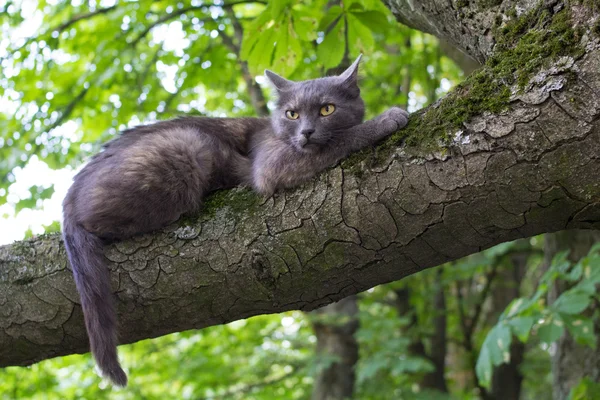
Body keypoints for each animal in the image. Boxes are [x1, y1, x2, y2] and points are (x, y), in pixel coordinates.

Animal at [62, 54, 408, 386]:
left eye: (327, 109)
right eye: (292, 114)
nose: (307, 132)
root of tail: (70, 198)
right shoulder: (272, 163)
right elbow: (342, 139)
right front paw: (387, 118)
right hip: (188, 145)